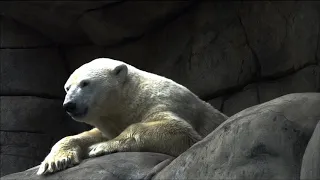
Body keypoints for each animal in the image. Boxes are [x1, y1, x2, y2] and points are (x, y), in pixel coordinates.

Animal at [37, 57, 228, 174]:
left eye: (85, 83)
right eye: (67, 87)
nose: (69, 105)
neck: (132, 97)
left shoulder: (163, 102)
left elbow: (179, 131)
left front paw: (99, 147)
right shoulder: (111, 122)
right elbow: (85, 135)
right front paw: (55, 162)